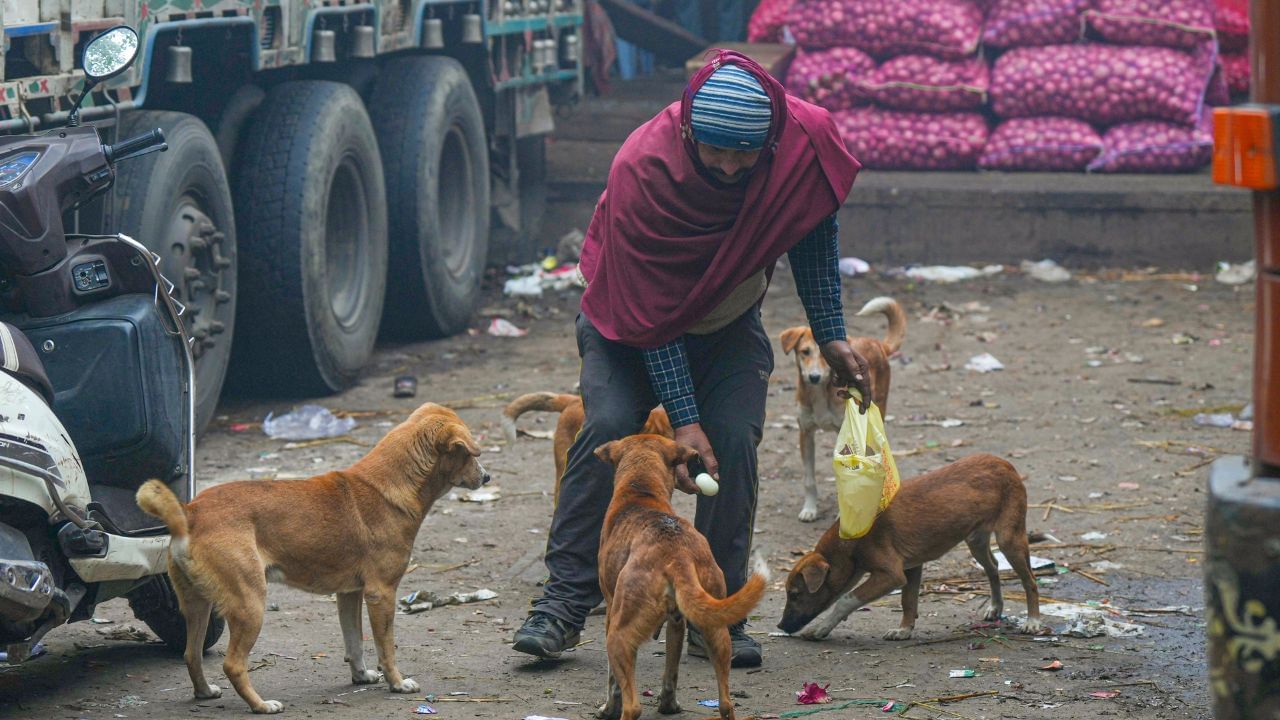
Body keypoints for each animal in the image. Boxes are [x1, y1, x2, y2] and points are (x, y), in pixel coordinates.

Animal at [137, 399, 488, 707]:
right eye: (470, 454)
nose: (487, 477)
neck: (392, 484)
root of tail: (190, 512)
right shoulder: (382, 594)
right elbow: (386, 647)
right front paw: (398, 683)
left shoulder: (350, 594)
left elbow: (354, 643)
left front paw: (361, 676)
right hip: (249, 603)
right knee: (233, 665)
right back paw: (261, 705)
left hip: (198, 605)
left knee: (191, 653)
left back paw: (205, 692)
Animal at [591, 430, 762, 717]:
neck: (640, 489)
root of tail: (677, 556)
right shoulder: (676, 622)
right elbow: (671, 671)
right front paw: (668, 705)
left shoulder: (610, 611)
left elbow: (612, 681)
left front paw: (607, 709)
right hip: (716, 628)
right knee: (726, 703)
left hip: (618, 635)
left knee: (633, 706)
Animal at [778, 450, 1039, 640]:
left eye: (795, 594)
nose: (780, 625)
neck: (849, 542)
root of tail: (1004, 463)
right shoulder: (912, 567)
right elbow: (908, 601)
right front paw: (904, 630)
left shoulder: (891, 574)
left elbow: (846, 599)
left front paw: (821, 629)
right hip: (975, 541)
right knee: (993, 567)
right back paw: (995, 607)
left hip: (1009, 539)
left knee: (1030, 580)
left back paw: (1033, 621)